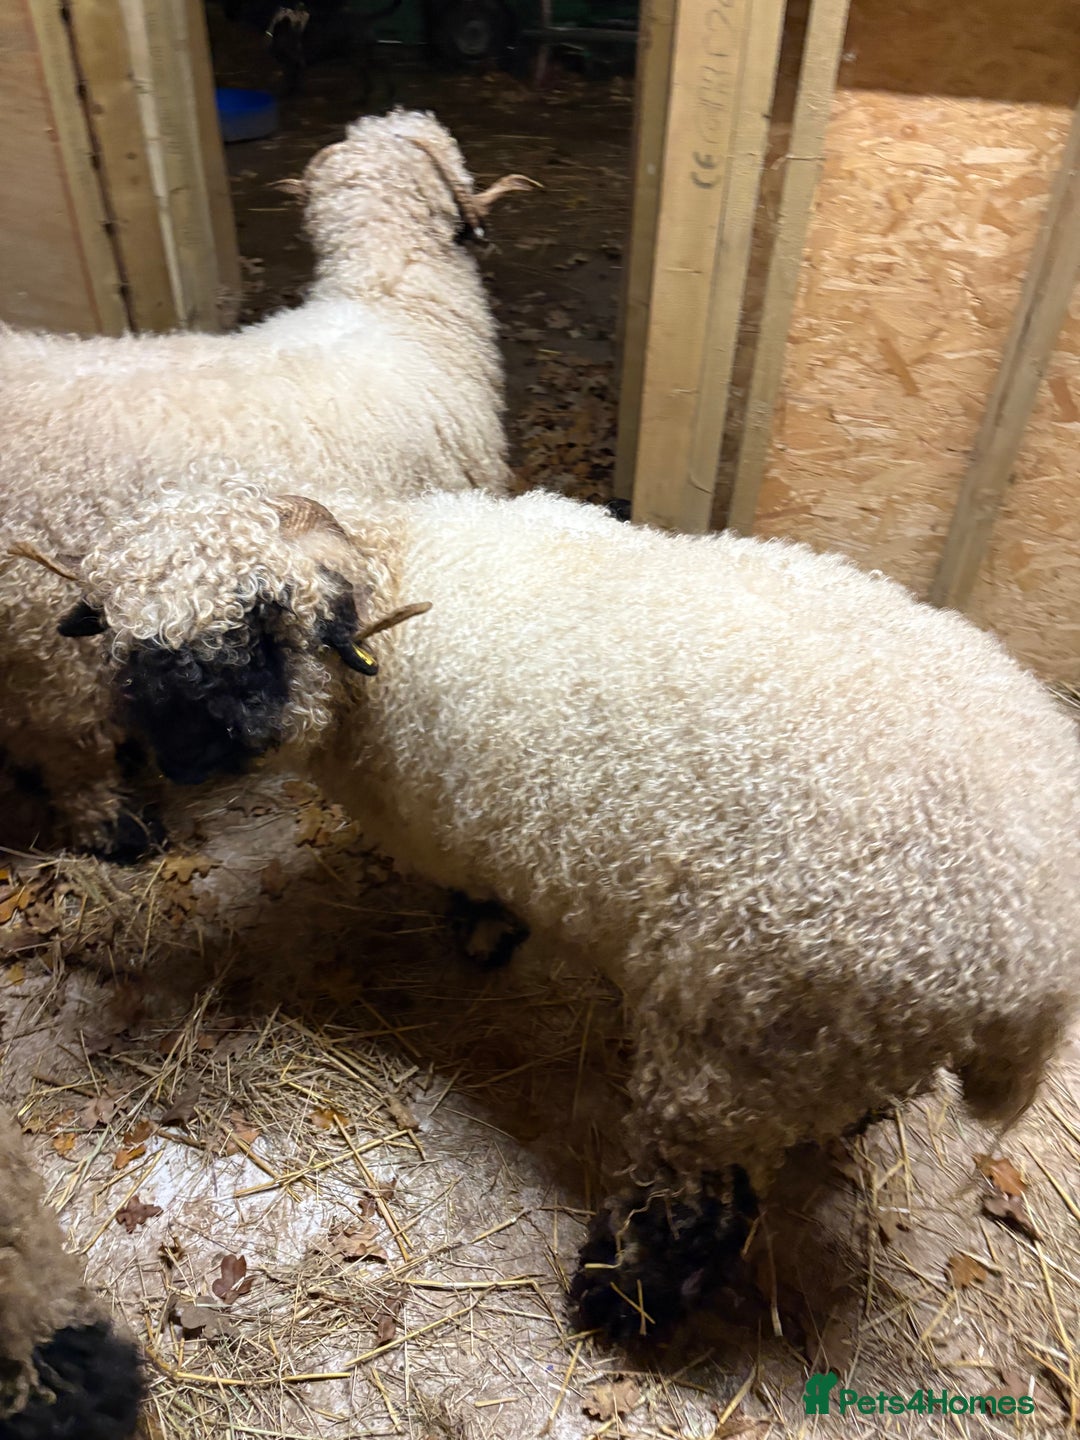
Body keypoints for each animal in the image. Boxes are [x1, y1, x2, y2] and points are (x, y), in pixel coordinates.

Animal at [18, 480, 1080, 1343]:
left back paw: (617, 1304)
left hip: (736, 1047)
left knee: (694, 1207)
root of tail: (1024, 967)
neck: (404, 576)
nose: (195, 754)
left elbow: (478, 896)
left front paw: (485, 934)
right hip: (821, 1044)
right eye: (132, 654)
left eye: (266, 630)